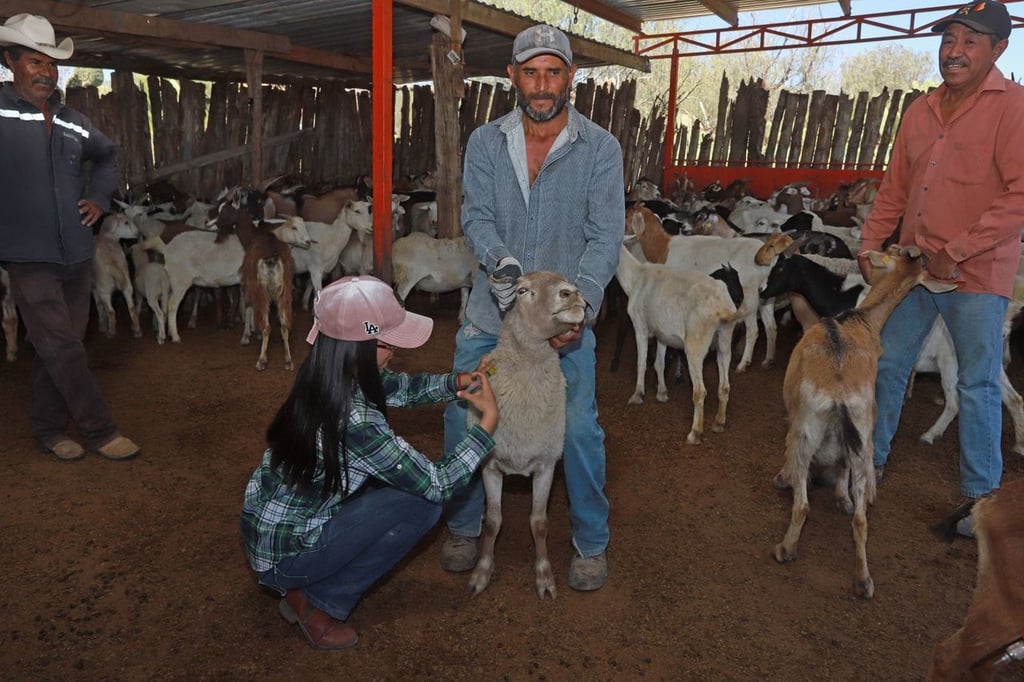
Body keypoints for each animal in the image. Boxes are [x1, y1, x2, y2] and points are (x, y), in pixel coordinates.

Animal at [464, 268, 585, 598]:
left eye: (567, 281)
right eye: (521, 291)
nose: (571, 293)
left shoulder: (546, 465)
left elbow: (539, 523)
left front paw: (544, 575)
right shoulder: (489, 465)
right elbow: (493, 522)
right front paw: (482, 570)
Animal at [614, 244, 745, 446]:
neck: (636, 276)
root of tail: (722, 308)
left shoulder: (639, 326)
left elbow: (641, 363)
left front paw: (638, 395)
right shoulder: (663, 334)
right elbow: (659, 363)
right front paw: (661, 393)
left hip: (695, 345)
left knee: (700, 391)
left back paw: (695, 433)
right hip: (724, 339)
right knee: (724, 386)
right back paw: (718, 423)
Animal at [774, 244, 958, 593]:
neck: (858, 321)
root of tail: (838, 397)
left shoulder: (793, 416)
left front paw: (782, 477)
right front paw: (841, 498)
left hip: (807, 431)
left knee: (802, 504)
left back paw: (785, 548)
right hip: (863, 436)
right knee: (860, 518)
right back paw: (863, 580)